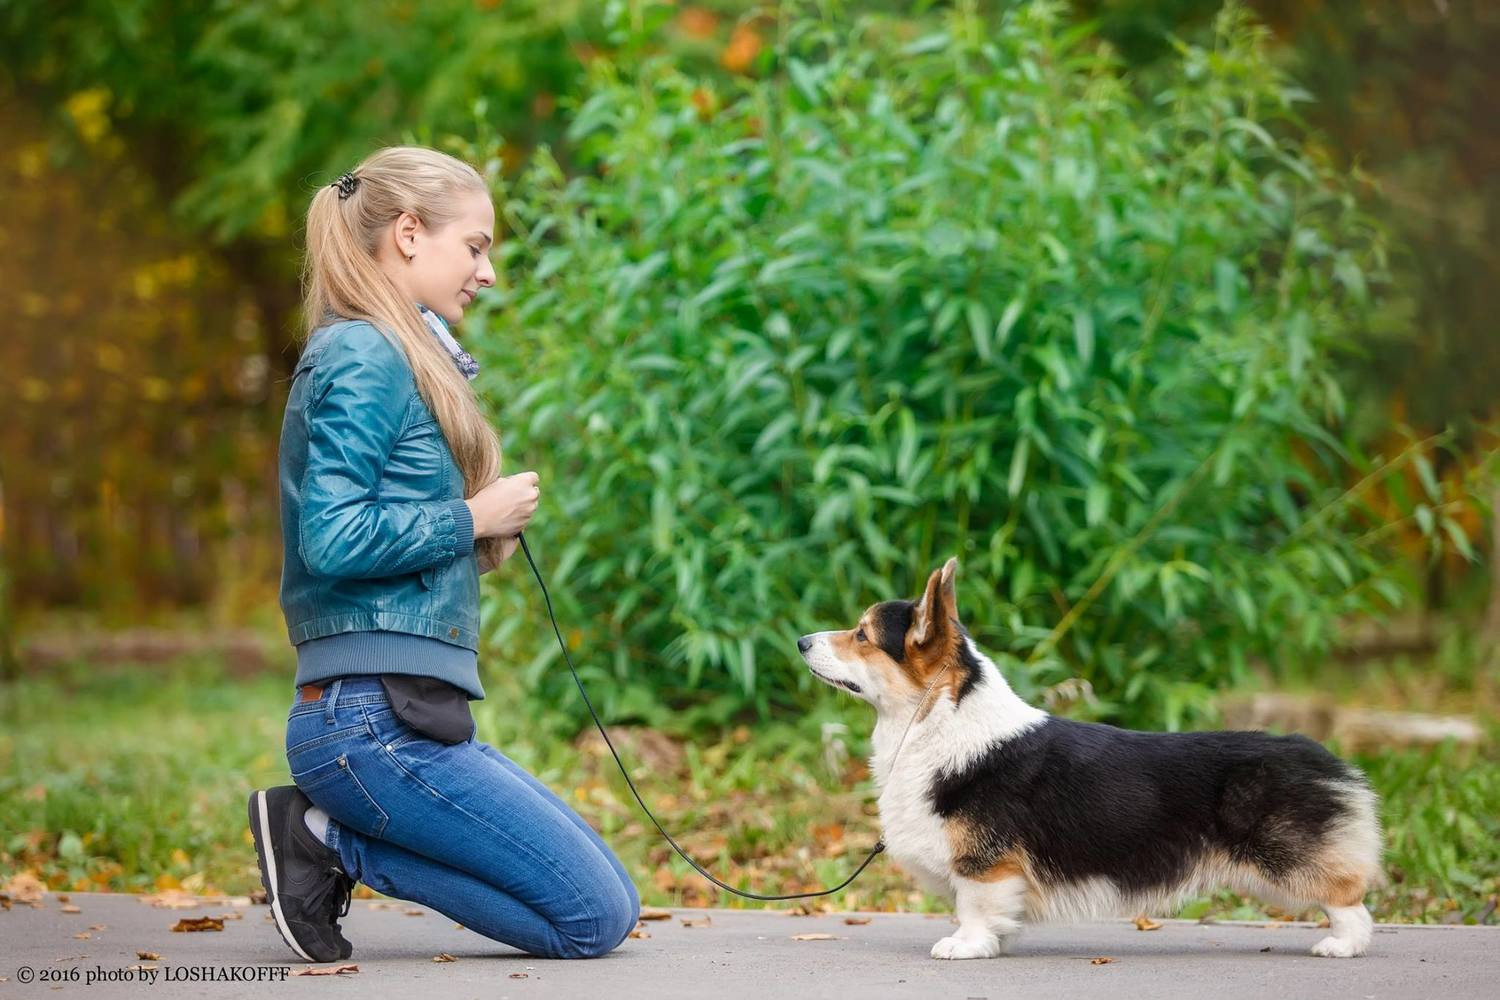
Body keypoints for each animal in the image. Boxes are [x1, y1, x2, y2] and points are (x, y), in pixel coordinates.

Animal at [798, 560, 1380, 959]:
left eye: (861, 635)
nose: (801, 640)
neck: (936, 718)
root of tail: (1321, 757)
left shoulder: (984, 866)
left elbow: (974, 906)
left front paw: (966, 946)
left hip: (1285, 859)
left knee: (1348, 896)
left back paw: (1343, 945)